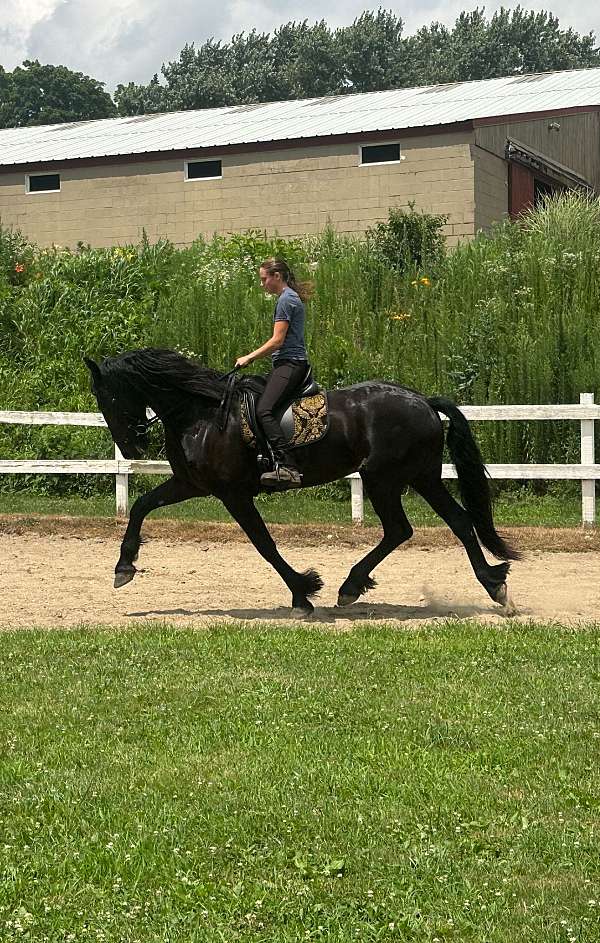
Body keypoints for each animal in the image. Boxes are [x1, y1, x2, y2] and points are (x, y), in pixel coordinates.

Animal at [85, 346, 520, 620]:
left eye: (109, 398)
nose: (130, 444)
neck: (202, 414)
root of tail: (424, 402)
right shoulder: (190, 484)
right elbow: (141, 506)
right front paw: (123, 567)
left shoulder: (232, 494)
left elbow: (265, 544)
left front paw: (302, 592)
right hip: (422, 477)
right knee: (457, 523)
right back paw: (493, 585)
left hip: (383, 479)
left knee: (400, 528)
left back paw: (351, 587)